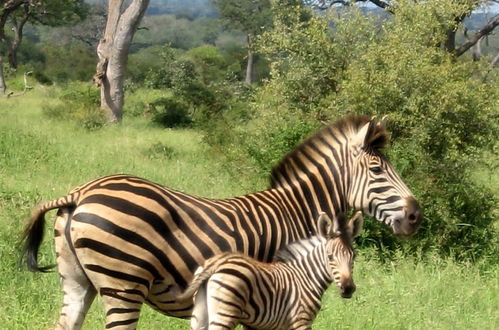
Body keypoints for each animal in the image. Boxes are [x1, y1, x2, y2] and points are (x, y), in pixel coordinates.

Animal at [179, 211, 364, 330]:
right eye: (330, 257)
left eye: (353, 256)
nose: (348, 289)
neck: (306, 277)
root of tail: (218, 262)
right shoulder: (301, 321)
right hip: (225, 311)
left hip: (200, 315)